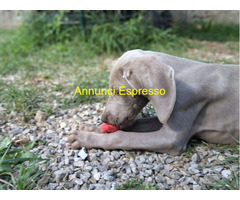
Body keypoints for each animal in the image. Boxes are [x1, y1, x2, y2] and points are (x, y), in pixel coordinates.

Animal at [68, 49, 240, 155]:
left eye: (119, 91)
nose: (104, 118)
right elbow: (137, 124)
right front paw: (92, 128)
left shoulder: (172, 138)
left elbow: (122, 137)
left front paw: (83, 138)